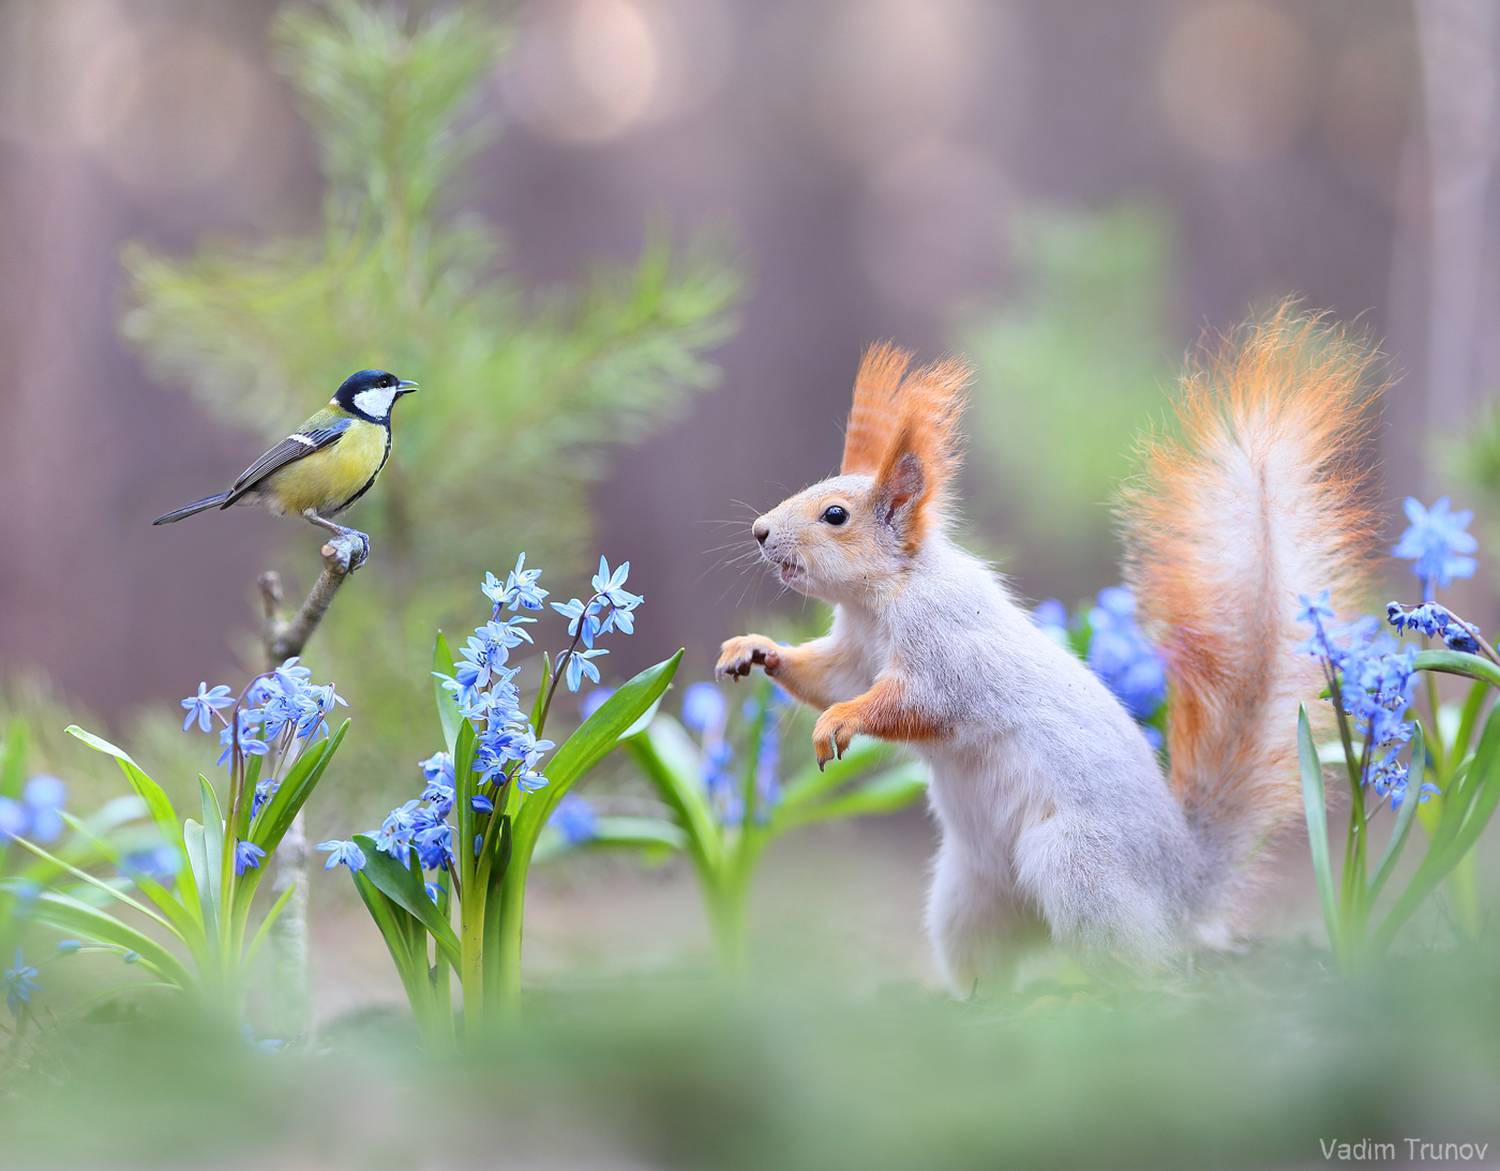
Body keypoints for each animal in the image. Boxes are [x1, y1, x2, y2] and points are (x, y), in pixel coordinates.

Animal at [715, 302, 1380, 993]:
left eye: (836, 515)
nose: (759, 531)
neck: (882, 599)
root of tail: (1183, 889)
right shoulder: (854, 651)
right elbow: (828, 677)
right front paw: (755, 651)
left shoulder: (948, 649)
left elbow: (911, 702)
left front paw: (839, 722)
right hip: (969, 894)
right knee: (991, 960)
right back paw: (983, 1003)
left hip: (1075, 866)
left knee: (1134, 972)